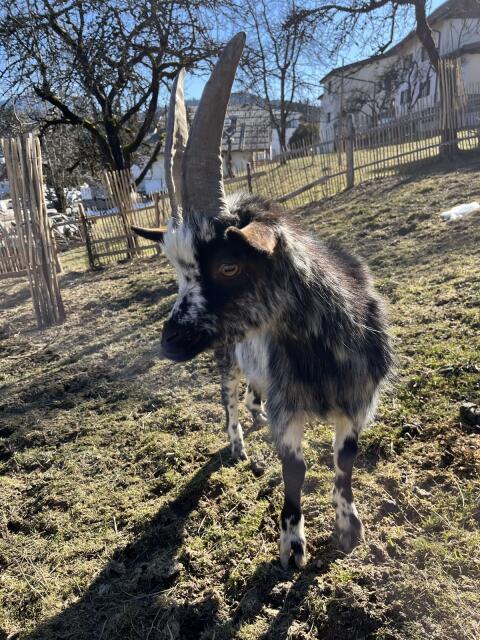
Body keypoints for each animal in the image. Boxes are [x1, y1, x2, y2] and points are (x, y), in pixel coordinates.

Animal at [132, 33, 393, 568]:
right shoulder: (287, 410)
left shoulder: (357, 403)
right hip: (224, 353)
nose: (170, 341)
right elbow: (294, 471)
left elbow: (344, 462)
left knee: (251, 394)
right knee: (228, 397)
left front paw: (347, 529)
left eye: (229, 266)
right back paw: (237, 443)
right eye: (177, 272)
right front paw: (292, 545)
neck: (322, 352)